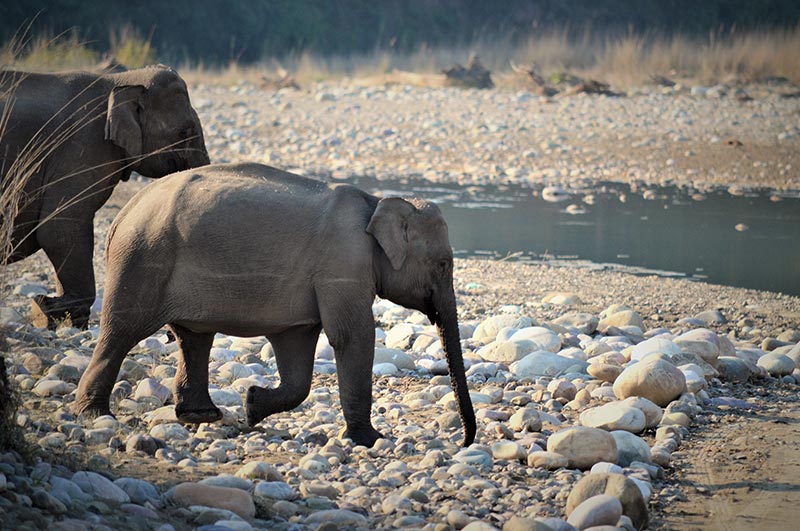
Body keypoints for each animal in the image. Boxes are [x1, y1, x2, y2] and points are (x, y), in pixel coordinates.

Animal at [0, 63, 211, 328]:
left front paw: (55, 312)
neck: (118, 80)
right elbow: (59, 228)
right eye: (184, 131)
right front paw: (49, 310)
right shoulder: (82, 146)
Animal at [73, 163, 476, 448]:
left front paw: (252, 405)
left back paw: (201, 416)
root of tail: (123, 212)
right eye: (443, 264)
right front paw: (371, 440)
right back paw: (93, 414)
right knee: (121, 332)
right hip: (142, 258)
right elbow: (351, 336)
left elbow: (297, 351)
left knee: (194, 338)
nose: (464, 441)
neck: (376, 202)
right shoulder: (342, 264)